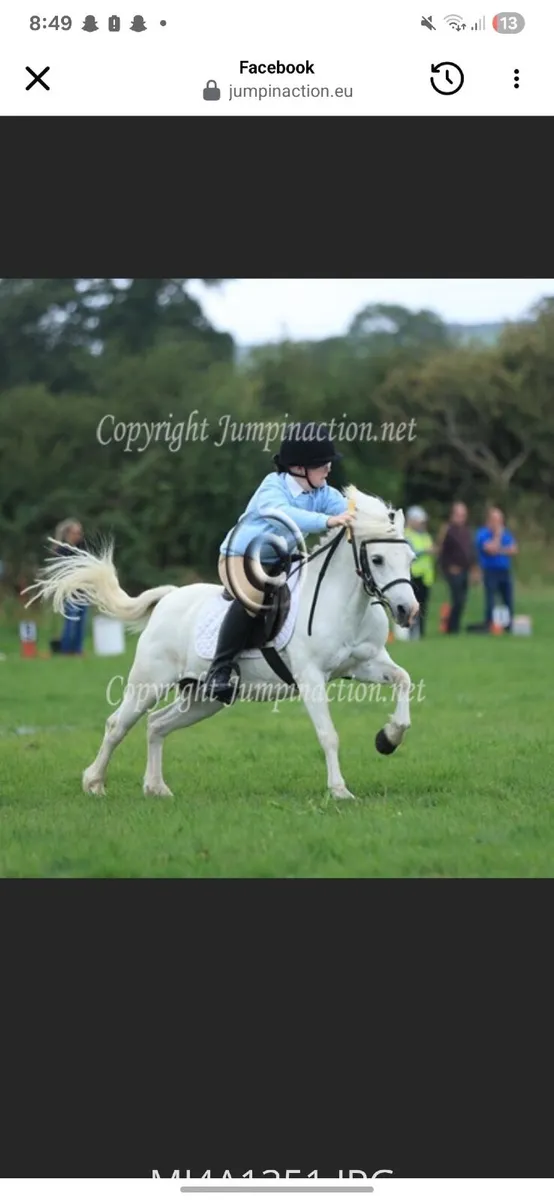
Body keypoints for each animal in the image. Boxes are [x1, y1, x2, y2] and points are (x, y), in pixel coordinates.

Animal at [24, 486, 418, 801]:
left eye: (410, 557)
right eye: (378, 559)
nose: (408, 610)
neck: (343, 603)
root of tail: (169, 598)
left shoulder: (366, 664)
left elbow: (404, 680)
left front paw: (389, 738)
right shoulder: (310, 677)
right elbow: (328, 734)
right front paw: (339, 791)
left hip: (203, 697)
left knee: (156, 724)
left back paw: (156, 787)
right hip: (149, 682)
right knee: (117, 724)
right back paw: (94, 782)